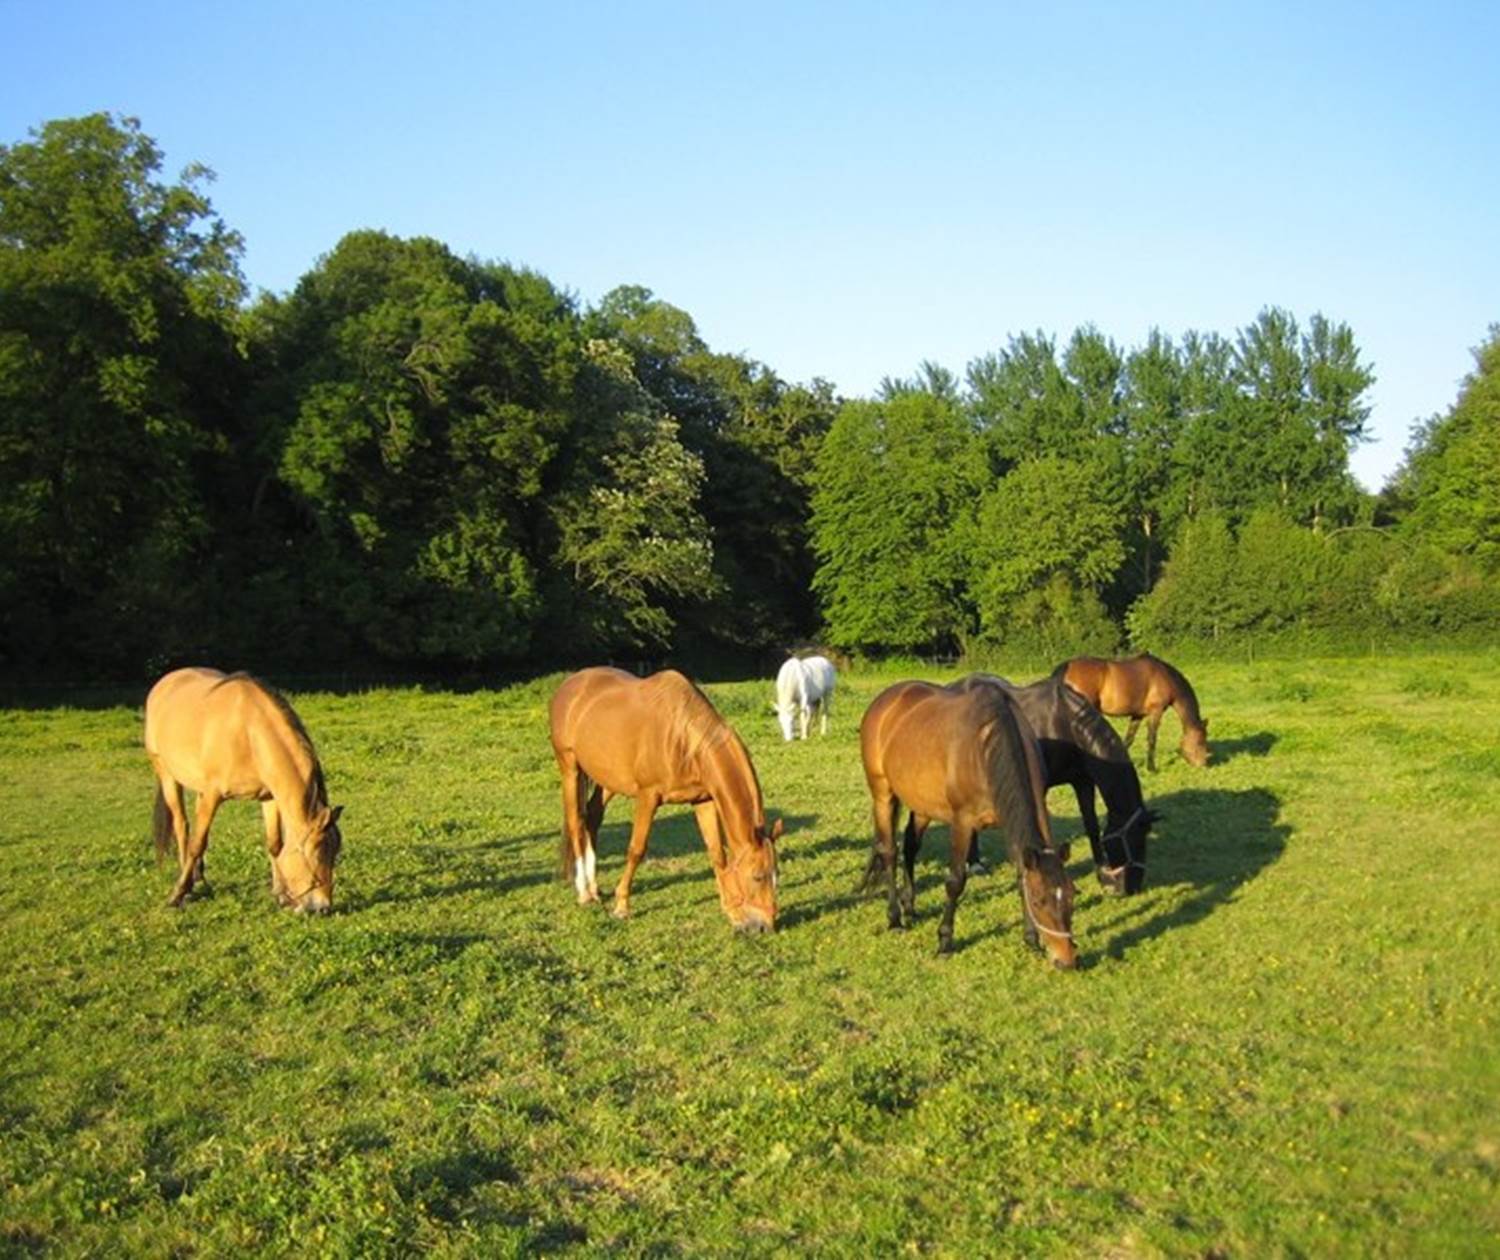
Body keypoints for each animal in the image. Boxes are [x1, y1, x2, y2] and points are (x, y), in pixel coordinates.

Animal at [143, 668, 344, 913]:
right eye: (316, 854)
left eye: (335, 853)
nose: (323, 907)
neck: (248, 733)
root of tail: (165, 682)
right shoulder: (212, 796)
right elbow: (197, 844)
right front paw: (177, 894)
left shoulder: (269, 797)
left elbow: (274, 844)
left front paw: (280, 894)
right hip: (167, 774)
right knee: (182, 826)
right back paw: (187, 885)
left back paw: (198, 878)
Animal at [548, 667, 782, 933]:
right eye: (758, 876)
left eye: (777, 874)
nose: (766, 926)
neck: (682, 737)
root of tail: (569, 685)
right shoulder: (648, 797)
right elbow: (636, 850)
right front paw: (622, 906)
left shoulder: (704, 800)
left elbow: (716, 853)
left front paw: (732, 911)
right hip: (570, 768)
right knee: (576, 821)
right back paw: (584, 892)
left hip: (608, 778)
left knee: (592, 818)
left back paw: (594, 887)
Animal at [859, 679, 1076, 966]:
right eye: (1040, 901)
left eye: (1072, 896)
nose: (1067, 959)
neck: (987, 747)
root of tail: (885, 699)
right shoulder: (962, 822)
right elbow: (955, 882)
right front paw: (945, 942)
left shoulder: (1009, 822)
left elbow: (1021, 878)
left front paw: (1031, 940)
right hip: (883, 794)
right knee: (889, 853)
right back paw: (895, 919)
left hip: (923, 803)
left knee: (910, 847)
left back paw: (910, 908)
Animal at [1057, 653, 1210, 771]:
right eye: (1201, 741)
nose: (1203, 765)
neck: (1165, 677)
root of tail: (1067, 667)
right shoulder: (1156, 711)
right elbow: (1152, 739)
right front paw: (1151, 768)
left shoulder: (1137, 715)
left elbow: (1128, 740)